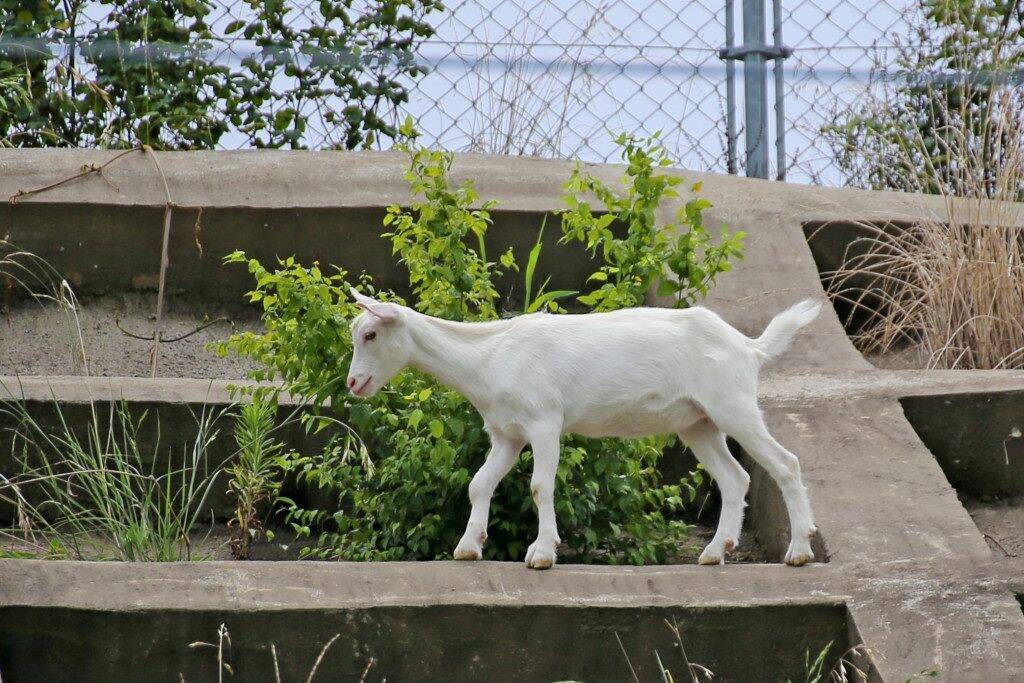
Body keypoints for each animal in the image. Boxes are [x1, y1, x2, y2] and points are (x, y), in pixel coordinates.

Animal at [348, 290, 819, 569]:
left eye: (370, 334)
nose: (353, 383)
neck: (490, 356)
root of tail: (749, 346)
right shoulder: (507, 434)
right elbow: (479, 483)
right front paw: (469, 546)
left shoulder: (544, 421)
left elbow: (540, 485)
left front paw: (542, 553)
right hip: (698, 422)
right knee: (735, 478)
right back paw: (715, 552)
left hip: (733, 403)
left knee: (787, 464)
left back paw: (798, 551)